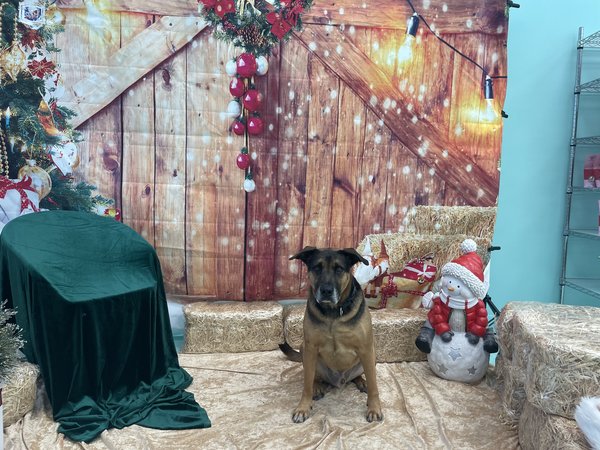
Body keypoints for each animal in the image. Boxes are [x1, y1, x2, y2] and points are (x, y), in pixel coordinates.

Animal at [280, 246, 383, 423]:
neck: (334, 312)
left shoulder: (366, 347)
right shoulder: (311, 347)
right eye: (316, 268)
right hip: (304, 349)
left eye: (339, 269)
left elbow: (373, 384)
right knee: (313, 376)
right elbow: (306, 384)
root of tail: (339, 381)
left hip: (373, 353)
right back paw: (317, 386)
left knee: (362, 375)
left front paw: (374, 407)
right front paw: (303, 407)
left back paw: (361, 381)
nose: (326, 291)